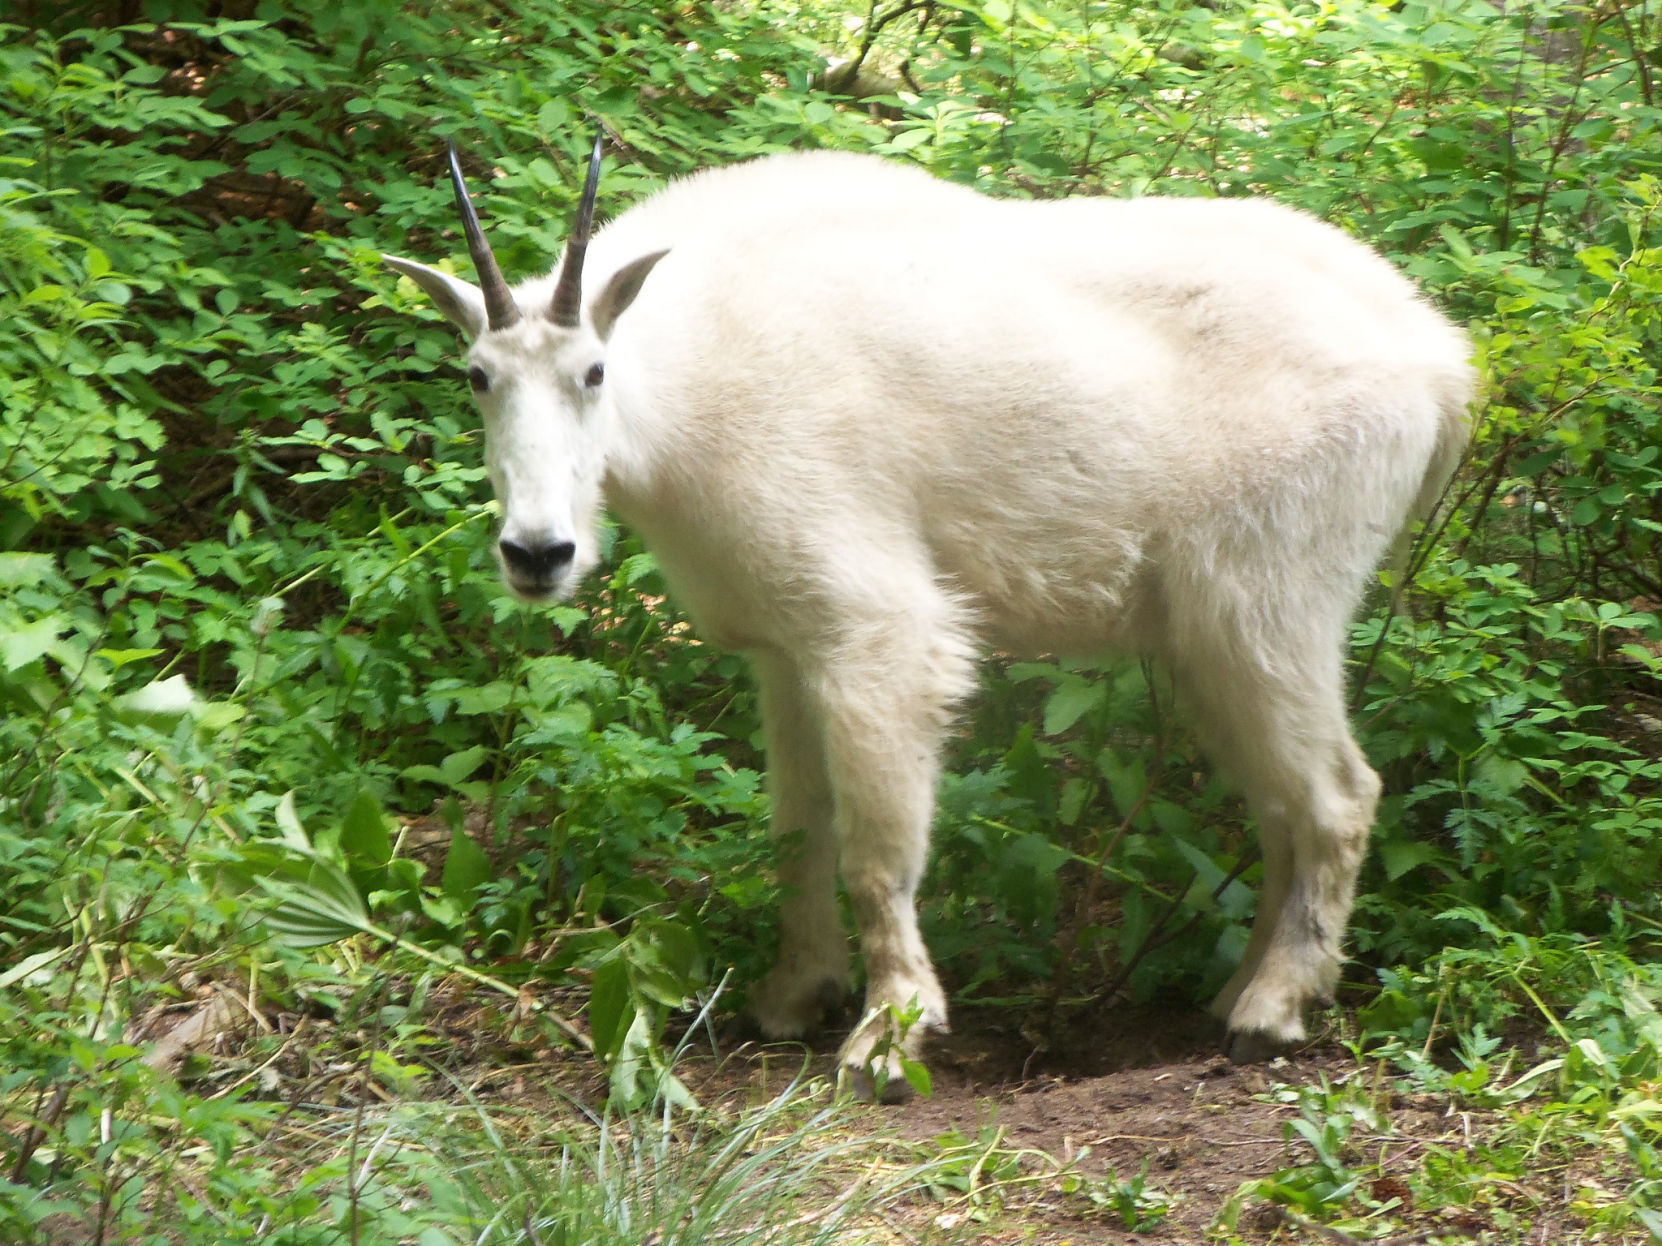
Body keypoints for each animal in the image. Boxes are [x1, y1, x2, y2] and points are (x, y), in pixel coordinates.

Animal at [382, 138, 1475, 1103]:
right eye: (478, 375)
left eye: (593, 371)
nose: (537, 553)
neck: (691, 376)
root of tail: (1441, 363)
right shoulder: (785, 649)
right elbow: (798, 830)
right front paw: (794, 996)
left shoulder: (876, 631)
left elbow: (875, 849)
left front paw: (887, 1038)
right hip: (1211, 640)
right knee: (1280, 806)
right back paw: (1240, 992)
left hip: (1270, 598)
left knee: (1338, 795)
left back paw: (1275, 1009)